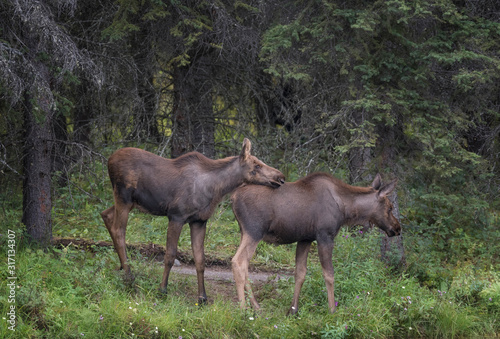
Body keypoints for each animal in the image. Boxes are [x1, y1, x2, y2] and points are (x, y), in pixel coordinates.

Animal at [100, 139, 286, 304]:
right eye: (257, 165)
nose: (281, 177)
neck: (216, 189)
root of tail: (109, 159)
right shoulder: (176, 216)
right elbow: (170, 255)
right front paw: (162, 290)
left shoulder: (199, 221)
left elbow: (200, 259)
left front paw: (202, 297)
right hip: (123, 197)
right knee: (119, 230)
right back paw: (129, 277)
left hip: (130, 202)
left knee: (106, 214)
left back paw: (122, 267)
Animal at [231, 174, 402, 314]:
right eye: (390, 207)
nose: (397, 228)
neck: (347, 209)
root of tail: (233, 197)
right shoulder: (324, 236)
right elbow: (329, 274)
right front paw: (332, 310)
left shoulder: (305, 239)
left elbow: (300, 273)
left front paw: (293, 310)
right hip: (254, 231)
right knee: (238, 261)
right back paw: (243, 310)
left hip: (244, 232)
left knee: (245, 265)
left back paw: (256, 307)